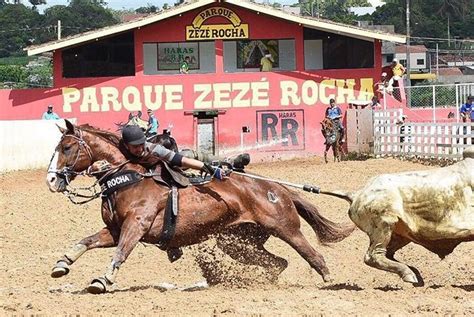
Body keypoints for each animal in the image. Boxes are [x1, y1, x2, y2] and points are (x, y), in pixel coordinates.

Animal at [46, 119, 354, 292]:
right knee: (278, 262)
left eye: (67, 148)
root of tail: (276, 187)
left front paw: (102, 281)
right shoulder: (114, 229)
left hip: (286, 229)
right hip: (237, 241)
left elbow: (120, 253)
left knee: (314, 257)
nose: (51, 179)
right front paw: (62, 264)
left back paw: (333, 283)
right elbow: (85, 242)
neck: (130, 178)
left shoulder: (136, 226)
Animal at [322, 147, 474, 282]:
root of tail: (356, 194)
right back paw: (409, 274)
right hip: (384, 224)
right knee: (373, 256)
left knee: (387, 254)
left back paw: (414, 274)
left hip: (400, 234)